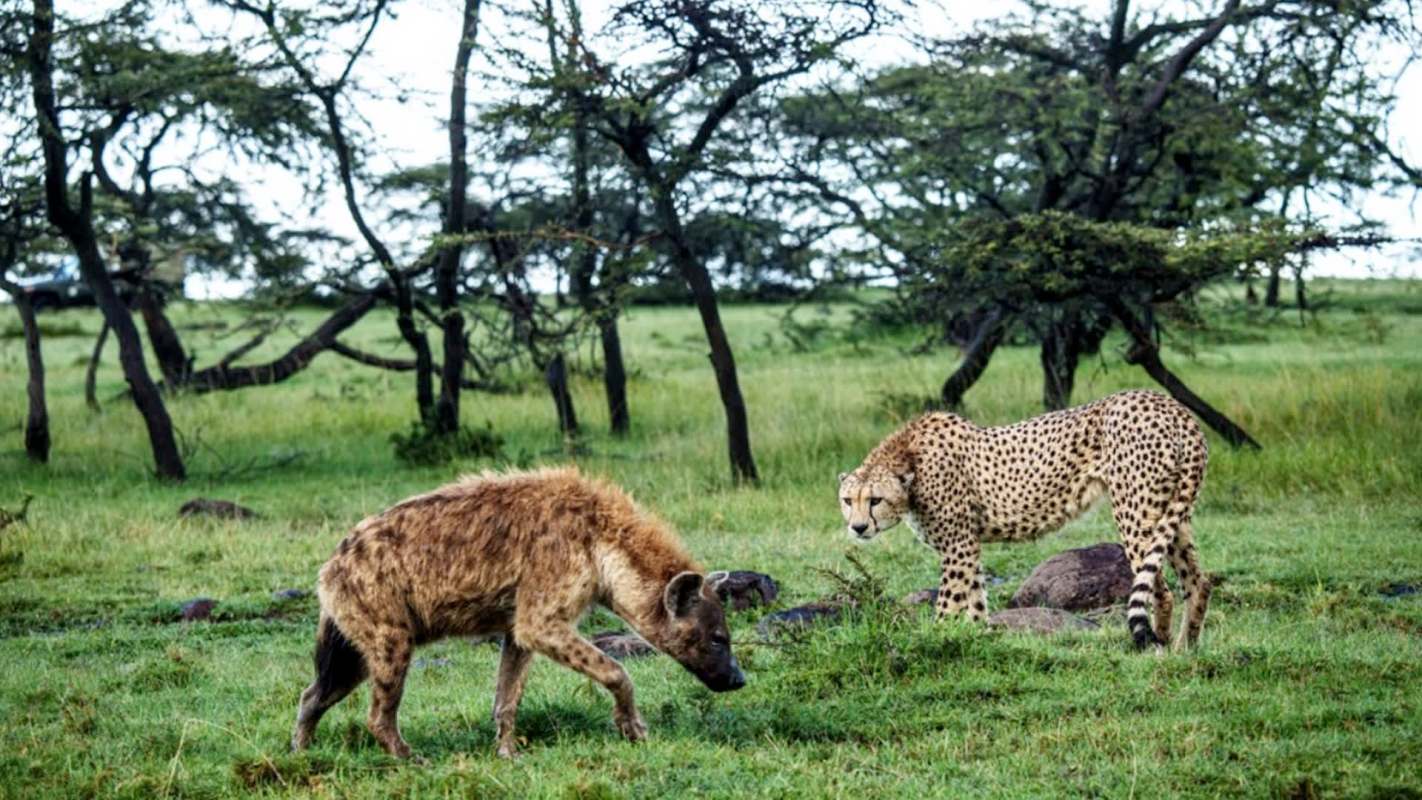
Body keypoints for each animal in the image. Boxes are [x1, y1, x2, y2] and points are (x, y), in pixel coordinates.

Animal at [838, 389, 1211, 650]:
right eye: (847, 500)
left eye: (875, 500)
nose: (858, 527)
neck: (908, 457)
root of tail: (1171, 405)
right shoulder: (969, 546)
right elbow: (975, 599)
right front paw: (980, 638)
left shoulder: (958, 545)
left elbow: (948, 602)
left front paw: (933, 640)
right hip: (1173, 511)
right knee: (1198, 581)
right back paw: (1186, 649)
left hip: (1135, 512)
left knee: (1161, 589)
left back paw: (1160, 647)